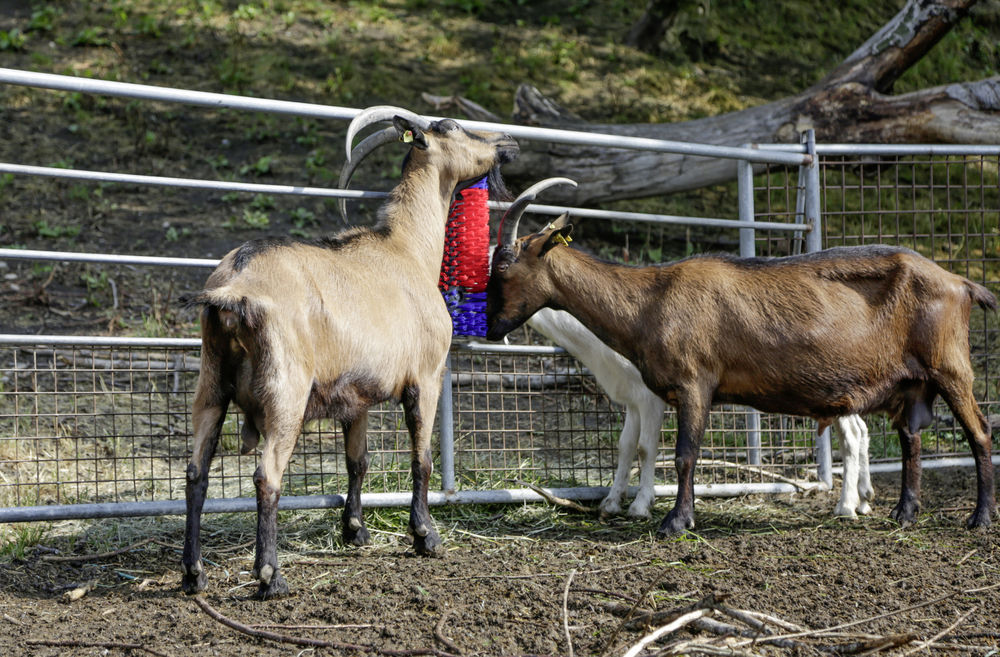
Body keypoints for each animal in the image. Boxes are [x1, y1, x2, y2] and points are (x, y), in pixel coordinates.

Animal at [181, 105, 520, 596]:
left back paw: (194, 573)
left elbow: (357, 461)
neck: (407, 250)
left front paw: (355, 530)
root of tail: (234, 288)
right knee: (267, 476)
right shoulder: (426, 376)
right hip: (285, 391)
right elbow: (422, 459)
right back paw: (270, 575)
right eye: (452, 126)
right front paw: (425, 535)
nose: (508, 142)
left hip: (211, 381)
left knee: (196, 473)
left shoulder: (355, 394)